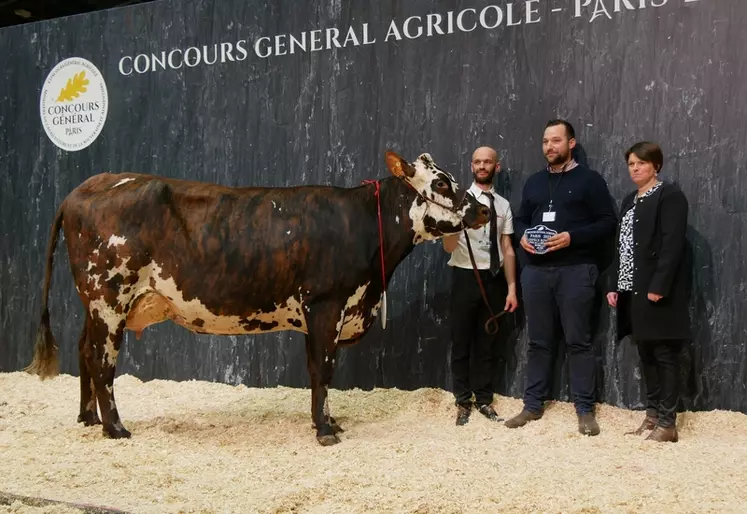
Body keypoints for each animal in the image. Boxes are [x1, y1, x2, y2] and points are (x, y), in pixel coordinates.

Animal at [26, 149, 490, 444]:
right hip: (108, 297)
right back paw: (115, 428)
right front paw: (325, 431)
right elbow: (324, 370)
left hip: (97, 304)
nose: (483, 209)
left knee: (83, 349)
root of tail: (84, 188)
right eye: (442, 182)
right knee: (102, 360)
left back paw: (88, 418)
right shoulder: (326, 305)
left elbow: (319, 372)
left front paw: (328, 421)